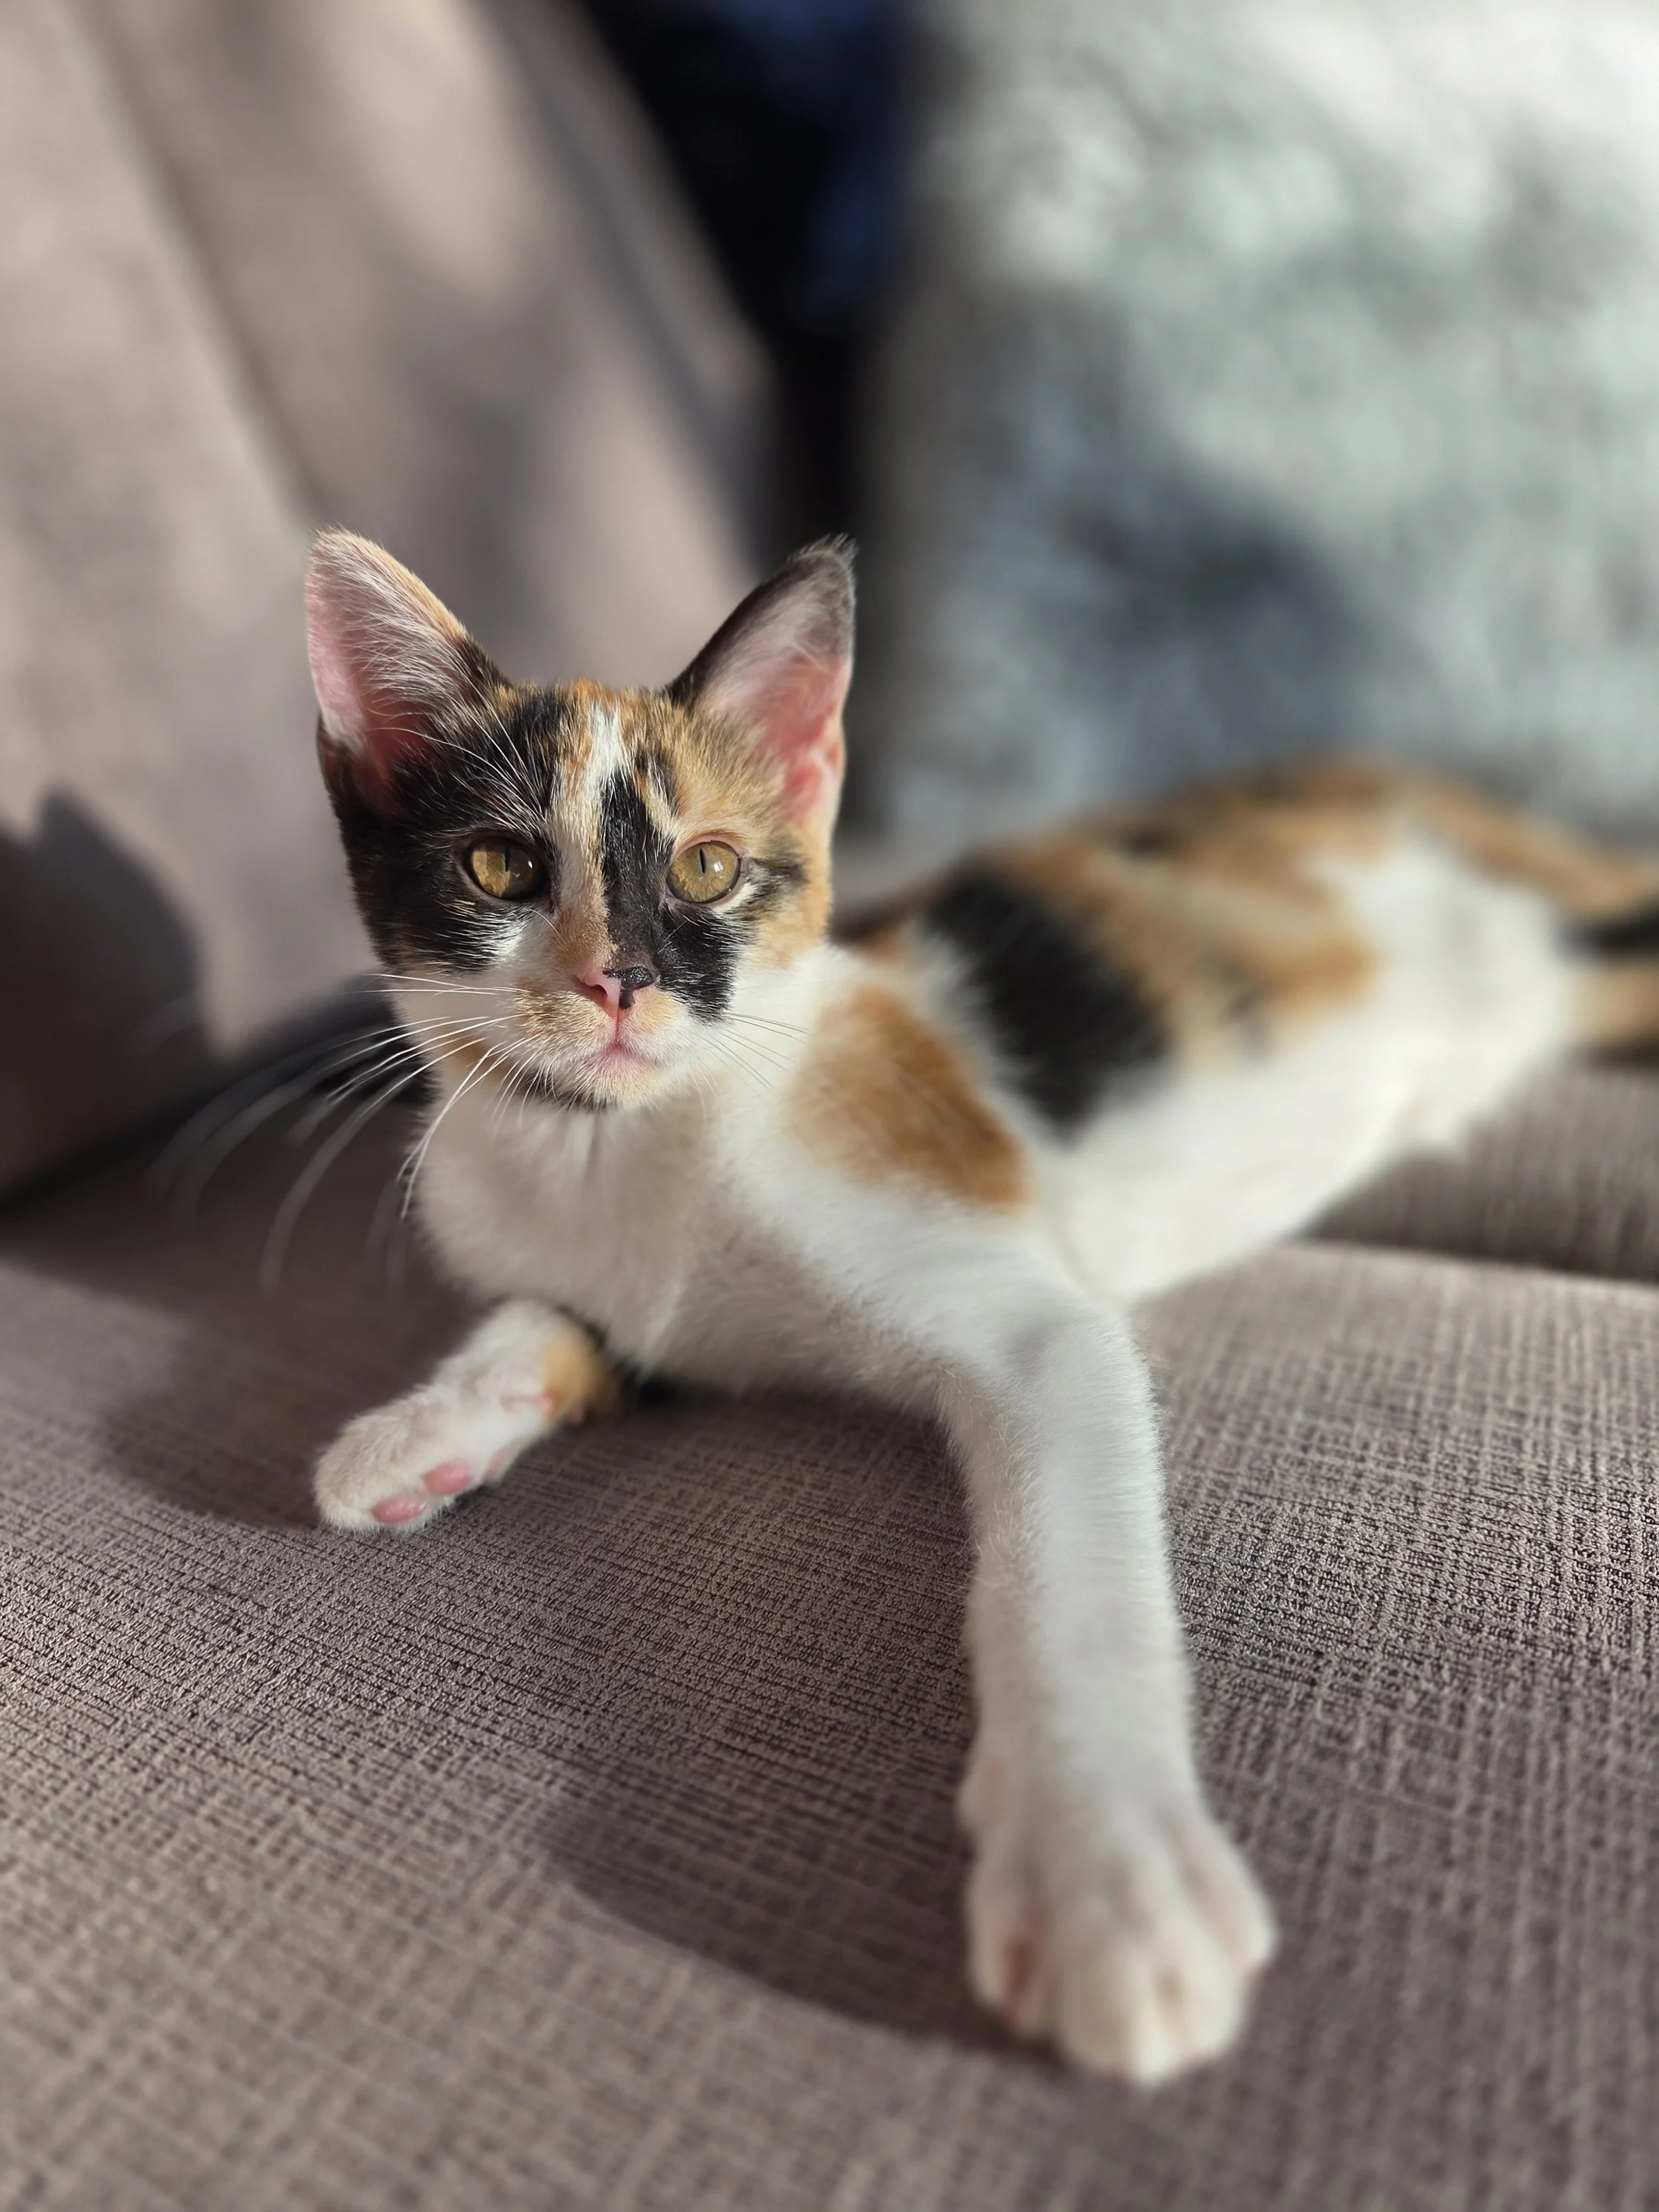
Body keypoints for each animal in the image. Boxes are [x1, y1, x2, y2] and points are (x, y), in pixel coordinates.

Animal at [304, 526, 1659, 2084]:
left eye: (709, 868)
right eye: (500, 864)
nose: (619, 982)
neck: (625, 1146)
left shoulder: (1027, 1318)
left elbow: (1055, 1568)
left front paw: (1105, 1880)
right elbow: (556, 1316)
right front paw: (424, 1425)